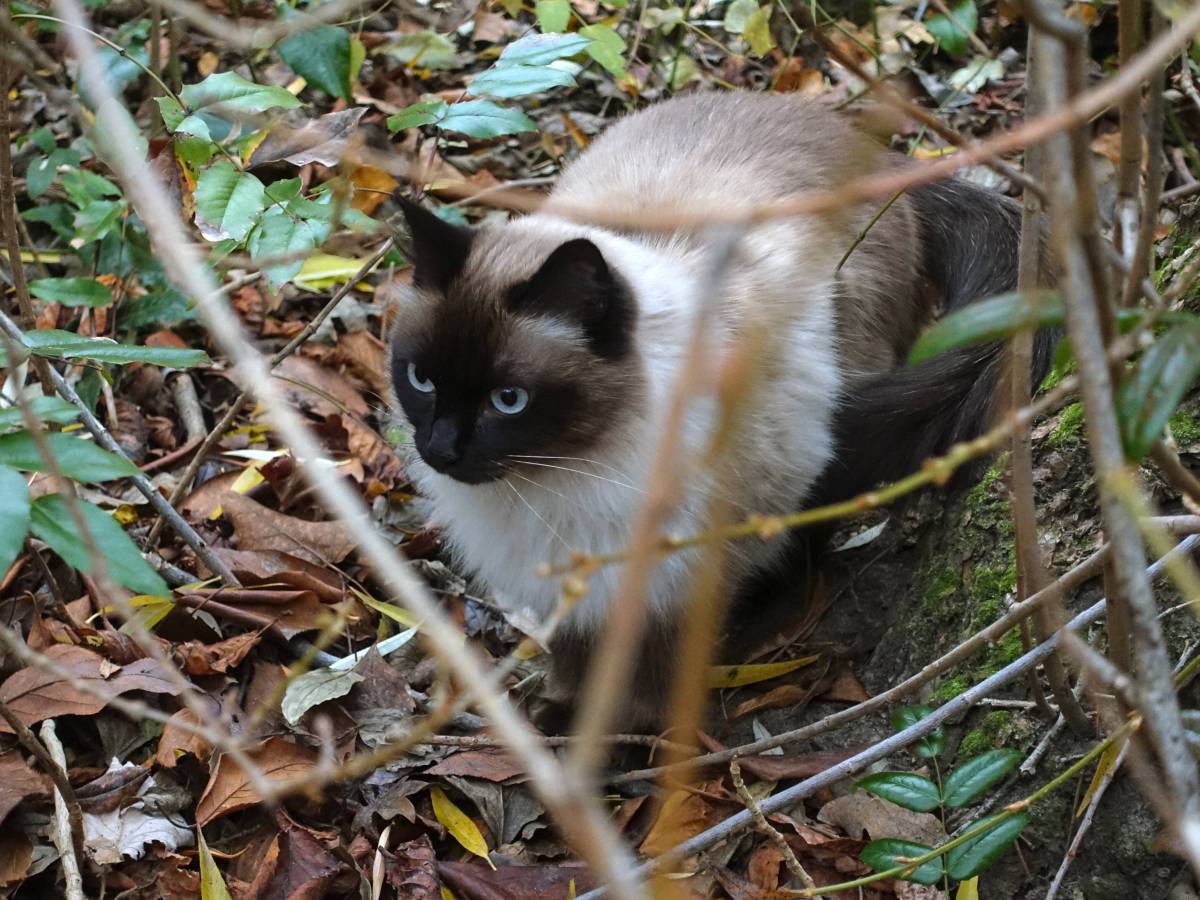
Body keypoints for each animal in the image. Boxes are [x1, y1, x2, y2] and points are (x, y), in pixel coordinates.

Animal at [386, 90, 1051, 724]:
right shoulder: (576, 584)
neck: (560, 478)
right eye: (421, 379)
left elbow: (655, 678)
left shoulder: (676, 580)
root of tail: (875, 151)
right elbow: (577, 660)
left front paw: (628, 744)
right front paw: (562, 720)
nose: (441, 449)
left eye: (509, 400)